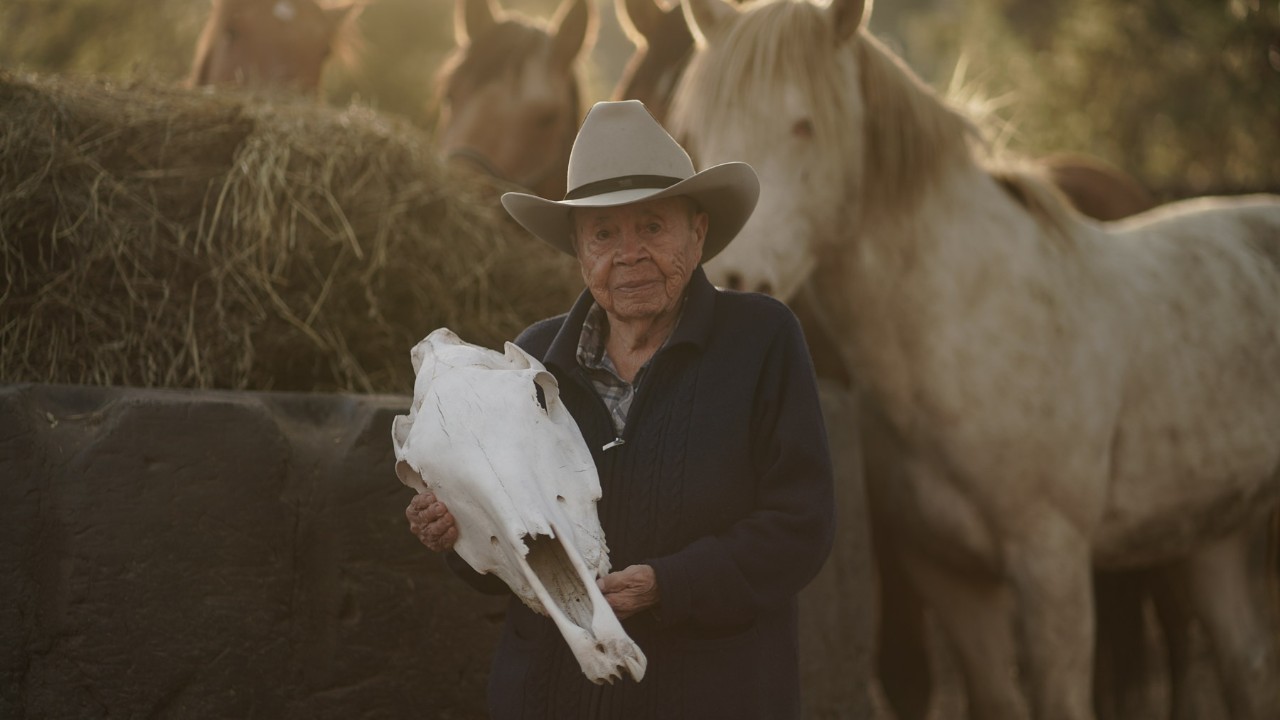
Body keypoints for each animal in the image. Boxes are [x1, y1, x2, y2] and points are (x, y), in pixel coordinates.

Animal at [671, 0, 1280, 719]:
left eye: (804, 124)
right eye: (698, 133)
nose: (729, 279)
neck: (965, 325)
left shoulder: (1053, 567)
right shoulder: (950, 579)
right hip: (1211, 538)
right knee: (1244, 664)